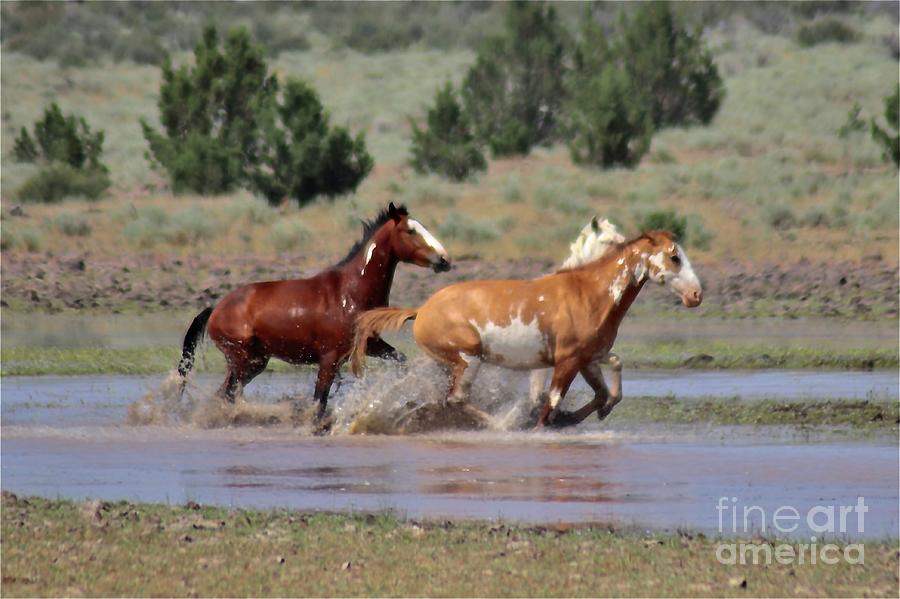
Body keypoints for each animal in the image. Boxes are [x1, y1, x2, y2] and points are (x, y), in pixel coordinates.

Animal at [178, 203, 450, 422]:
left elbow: (401, 361)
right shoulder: (329, 358)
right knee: (226, 394)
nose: (444, 260)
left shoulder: (370, 344)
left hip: (254, 362)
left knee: (226, 394)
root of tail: (216, 308)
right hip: (244, 360)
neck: (349, 293)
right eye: (410, 231)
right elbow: (320, 401)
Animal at [354, 229, 704, 426]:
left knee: (443, 398)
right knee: (457, 399)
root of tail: (421, 310)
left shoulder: (589, 358)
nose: (696, 295)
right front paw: (543, 422)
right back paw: (502, 424)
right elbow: (550, 404)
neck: (589, 293)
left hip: (447, 365)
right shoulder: (566, 363)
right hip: (469, 360)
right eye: (674, 257)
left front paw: (585, 415)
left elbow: (609, 384)